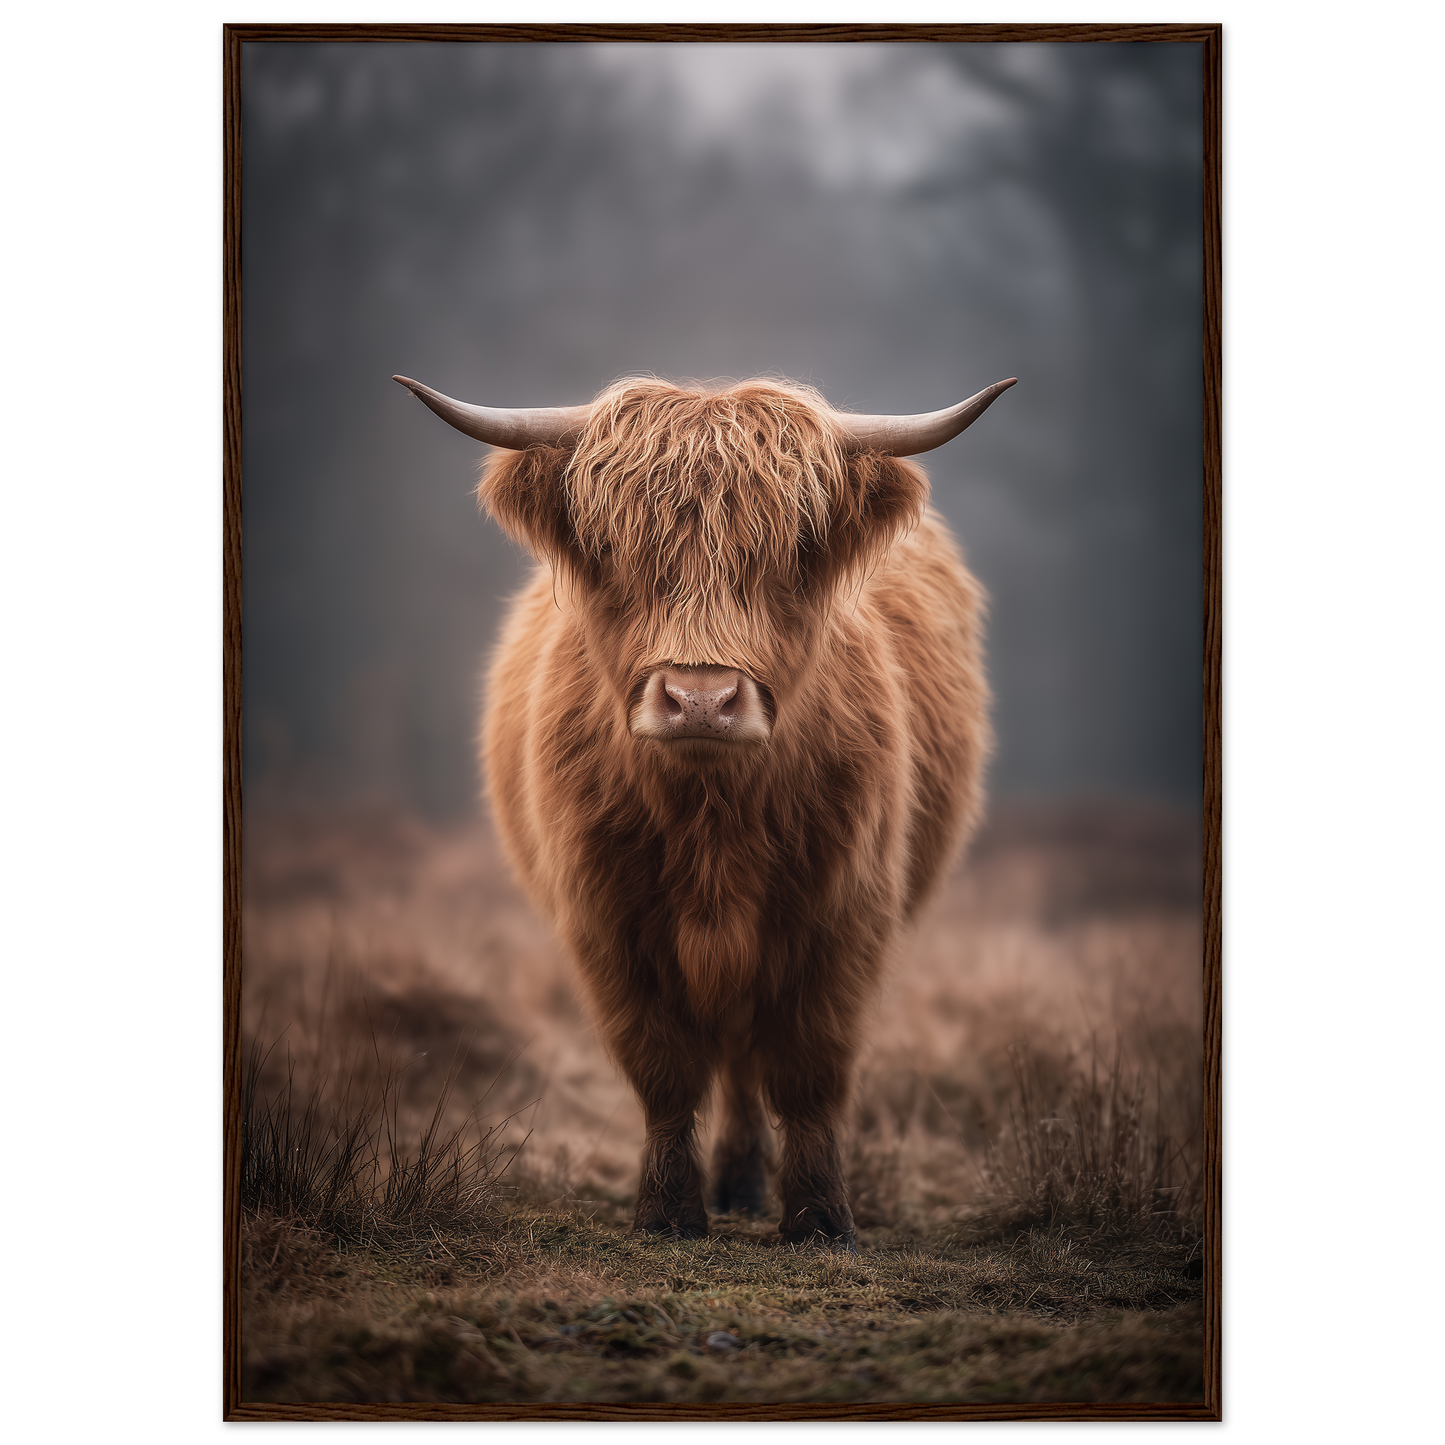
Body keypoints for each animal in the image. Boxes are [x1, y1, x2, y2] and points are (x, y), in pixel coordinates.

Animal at [393, 370, 1014, 1250]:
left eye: (793, 550)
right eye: (614, 548)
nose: (700, 699)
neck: (712, 820)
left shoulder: (842, 915)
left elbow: (808, 1069)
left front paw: (820, 1219)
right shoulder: (609, 922)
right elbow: (663, 1067)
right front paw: (666, 1212)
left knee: (750, 1058)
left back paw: (746, 1185)